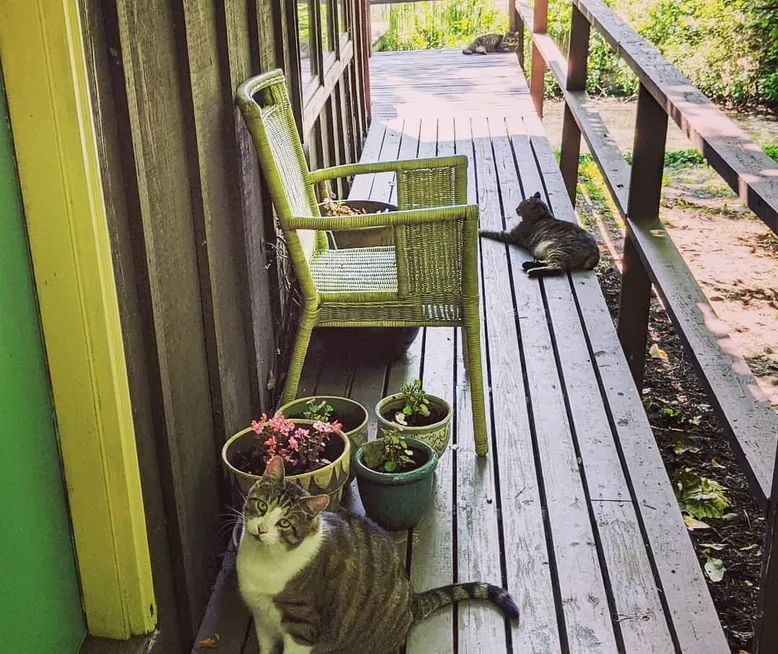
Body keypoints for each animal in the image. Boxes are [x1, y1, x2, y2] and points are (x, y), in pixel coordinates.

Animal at [237, 456, 519, 654]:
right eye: (261, 505)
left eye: (284, 523)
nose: (261, 529)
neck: (263, 559)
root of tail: (411, 600)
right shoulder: (260, 617)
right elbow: (266, 646)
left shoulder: (302, 627)